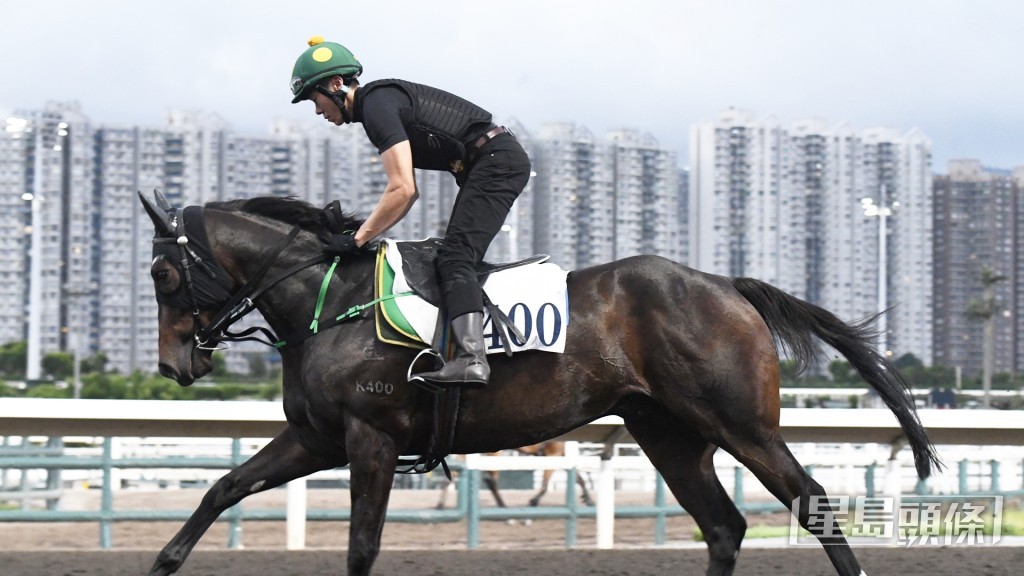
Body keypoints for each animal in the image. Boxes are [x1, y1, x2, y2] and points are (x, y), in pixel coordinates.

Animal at [140, 193, 940, 576]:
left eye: (164, 273)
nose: (175, 365)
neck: (333, 301)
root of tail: (726, 284)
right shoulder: (316, 437)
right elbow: (222, 489)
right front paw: (163, 561)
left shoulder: (370, 440)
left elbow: (361, 545)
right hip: (669, 433)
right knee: (723, 526)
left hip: (741, 423)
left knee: (812, 504)